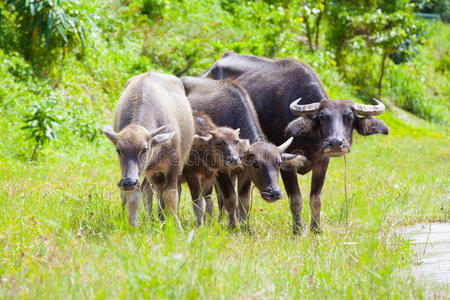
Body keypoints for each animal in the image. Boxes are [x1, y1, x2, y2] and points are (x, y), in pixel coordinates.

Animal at [103, 72, 194, 227]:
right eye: (118, 150)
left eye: (144, 149)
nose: (129, 182)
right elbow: (134, 195)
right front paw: (132, 224)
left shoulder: (174, 166)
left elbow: (171, 195)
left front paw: (176, 225)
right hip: (151, 172)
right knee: (152, 190)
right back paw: (155, 218)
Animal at [180, 76, 306, 229]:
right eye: (256, 164)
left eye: (278, 163)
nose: (274, 193)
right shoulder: (222, 171)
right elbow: (231, 198)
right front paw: (233, 226)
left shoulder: (245, 173)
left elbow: (244, 201)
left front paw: (245, 227)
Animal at [202, 52, 388, 234]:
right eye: (322, 117)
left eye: (349, 118)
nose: (335, 143)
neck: (308, 138)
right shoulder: (287, 164)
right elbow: (296, 199)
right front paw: (298, 230)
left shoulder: (323, 161)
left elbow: (315, 198)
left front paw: (316, 229)